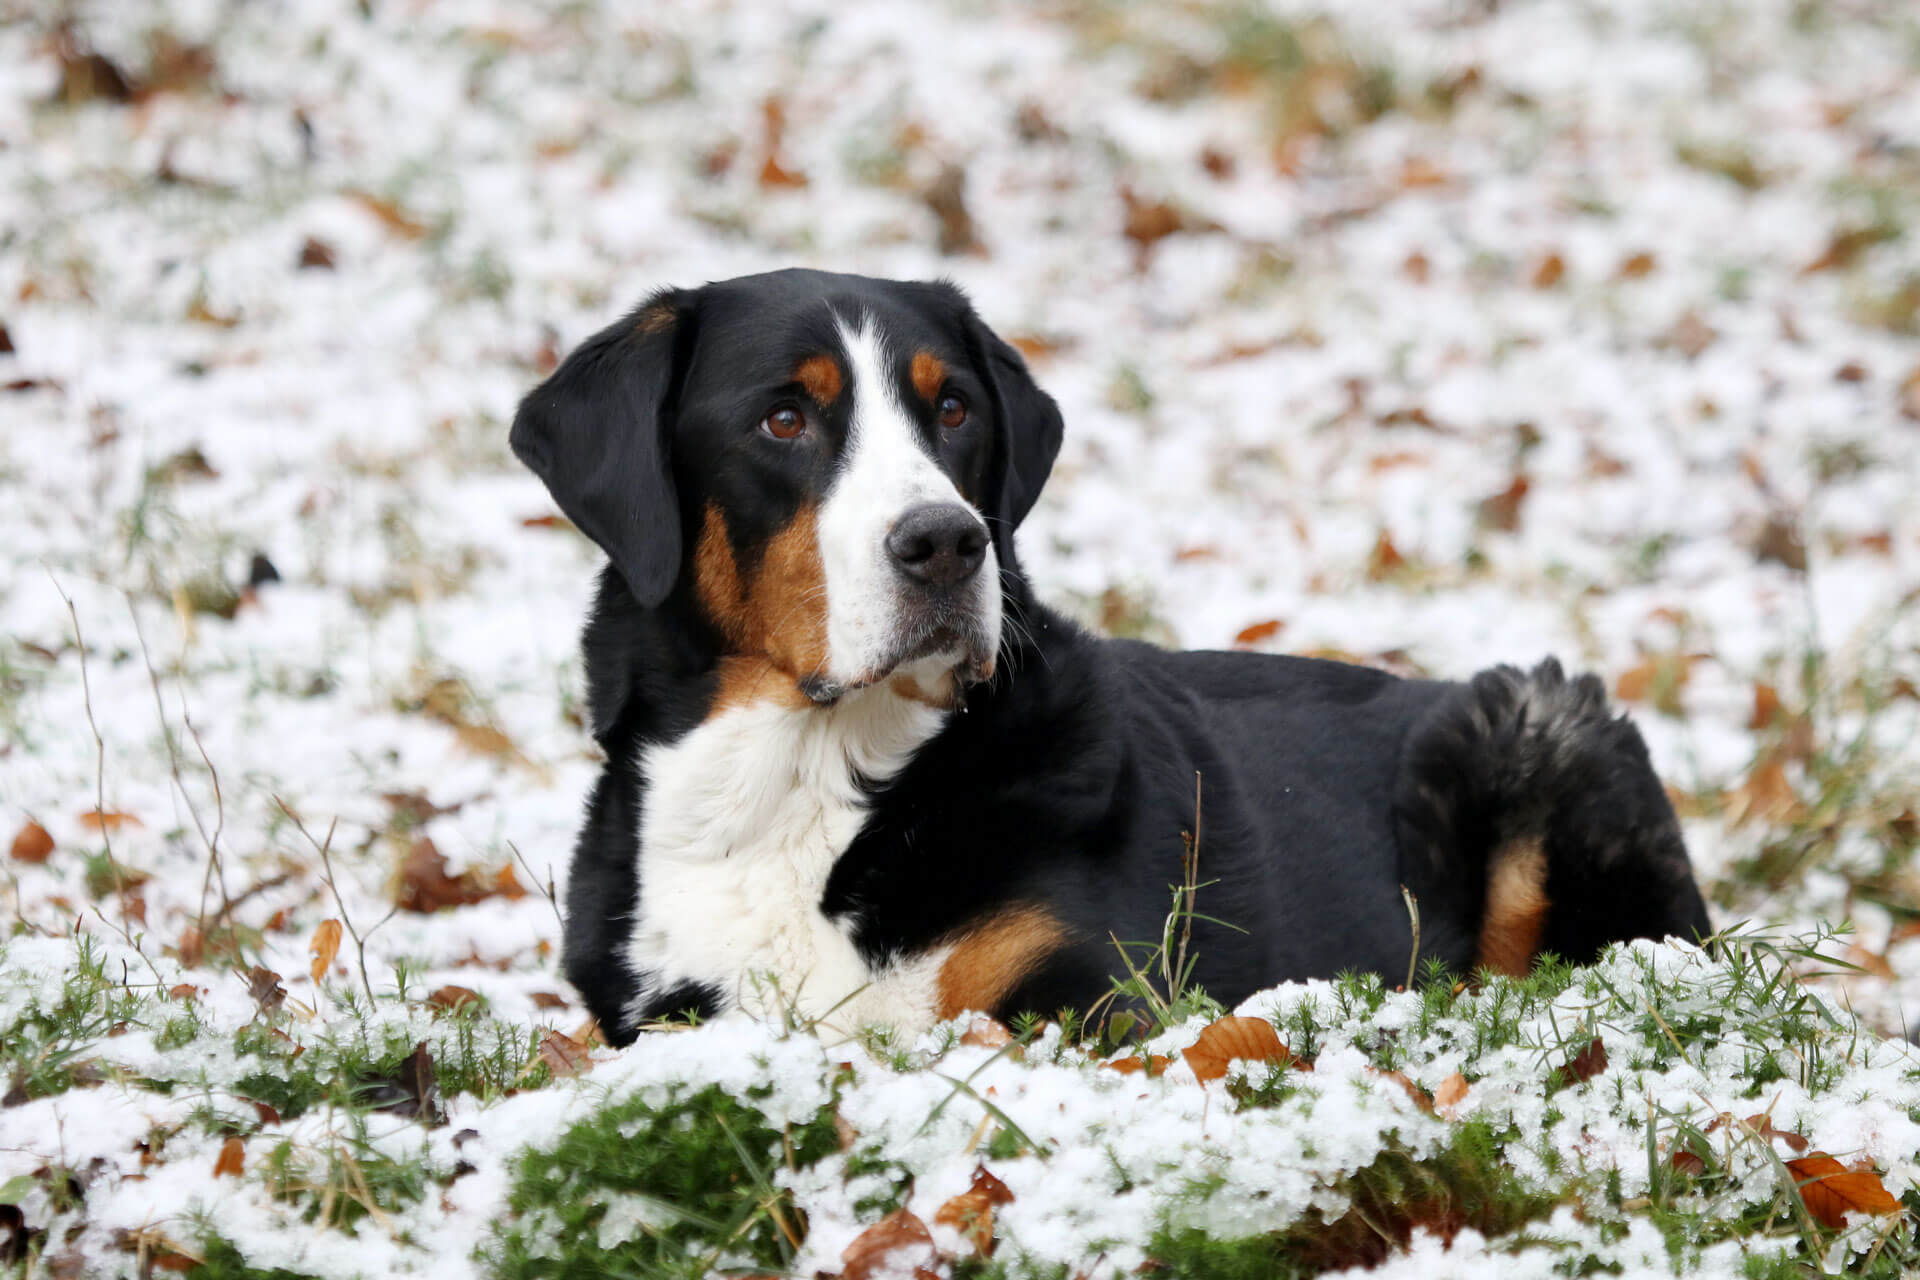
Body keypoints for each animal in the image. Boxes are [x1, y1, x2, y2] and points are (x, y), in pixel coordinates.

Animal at [510, 264, 1712, 1043]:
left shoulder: (1105, 997)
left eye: (954, 408)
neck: (804, 772)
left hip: (1537, 728)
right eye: (783, 419)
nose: (946, 542)